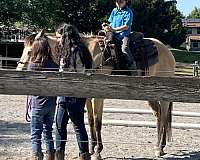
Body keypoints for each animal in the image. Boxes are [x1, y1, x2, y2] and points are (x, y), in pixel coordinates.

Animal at [16, 28, 175, 159]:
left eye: (30, 52)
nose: (19, 71)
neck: (89, 55)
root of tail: (167, 52)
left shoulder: (99, 96)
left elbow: (98, 121)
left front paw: (98, 151)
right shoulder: (87, 96)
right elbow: (91, 120)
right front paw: (92, 149)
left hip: (164, 95)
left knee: (164, 116)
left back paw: (159, 149)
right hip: (151, 95)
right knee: (159, 115)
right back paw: (160, 147)